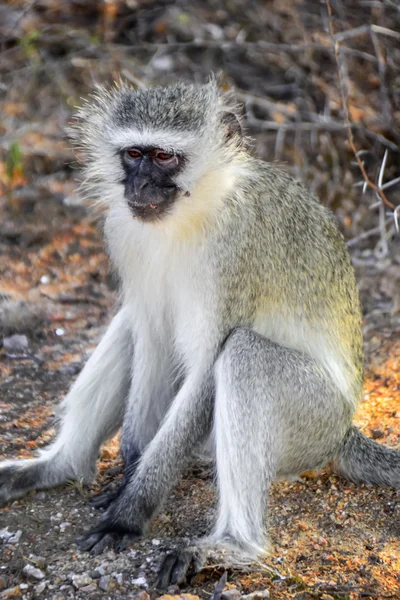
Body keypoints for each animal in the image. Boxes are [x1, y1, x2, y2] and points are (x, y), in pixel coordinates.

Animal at [0, 78, 400, 584]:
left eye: (164, 157)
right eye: (134, 154)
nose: (138, 185)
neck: (197, 207)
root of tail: (345, 432)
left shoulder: (237, 245)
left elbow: (208, 369)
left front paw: (131, 509)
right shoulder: (125, 232)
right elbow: (151, 337)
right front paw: (131, 474)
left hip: (316, 421)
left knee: (244, 353)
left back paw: (235, 545)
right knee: (131, 323)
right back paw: (57, 466)